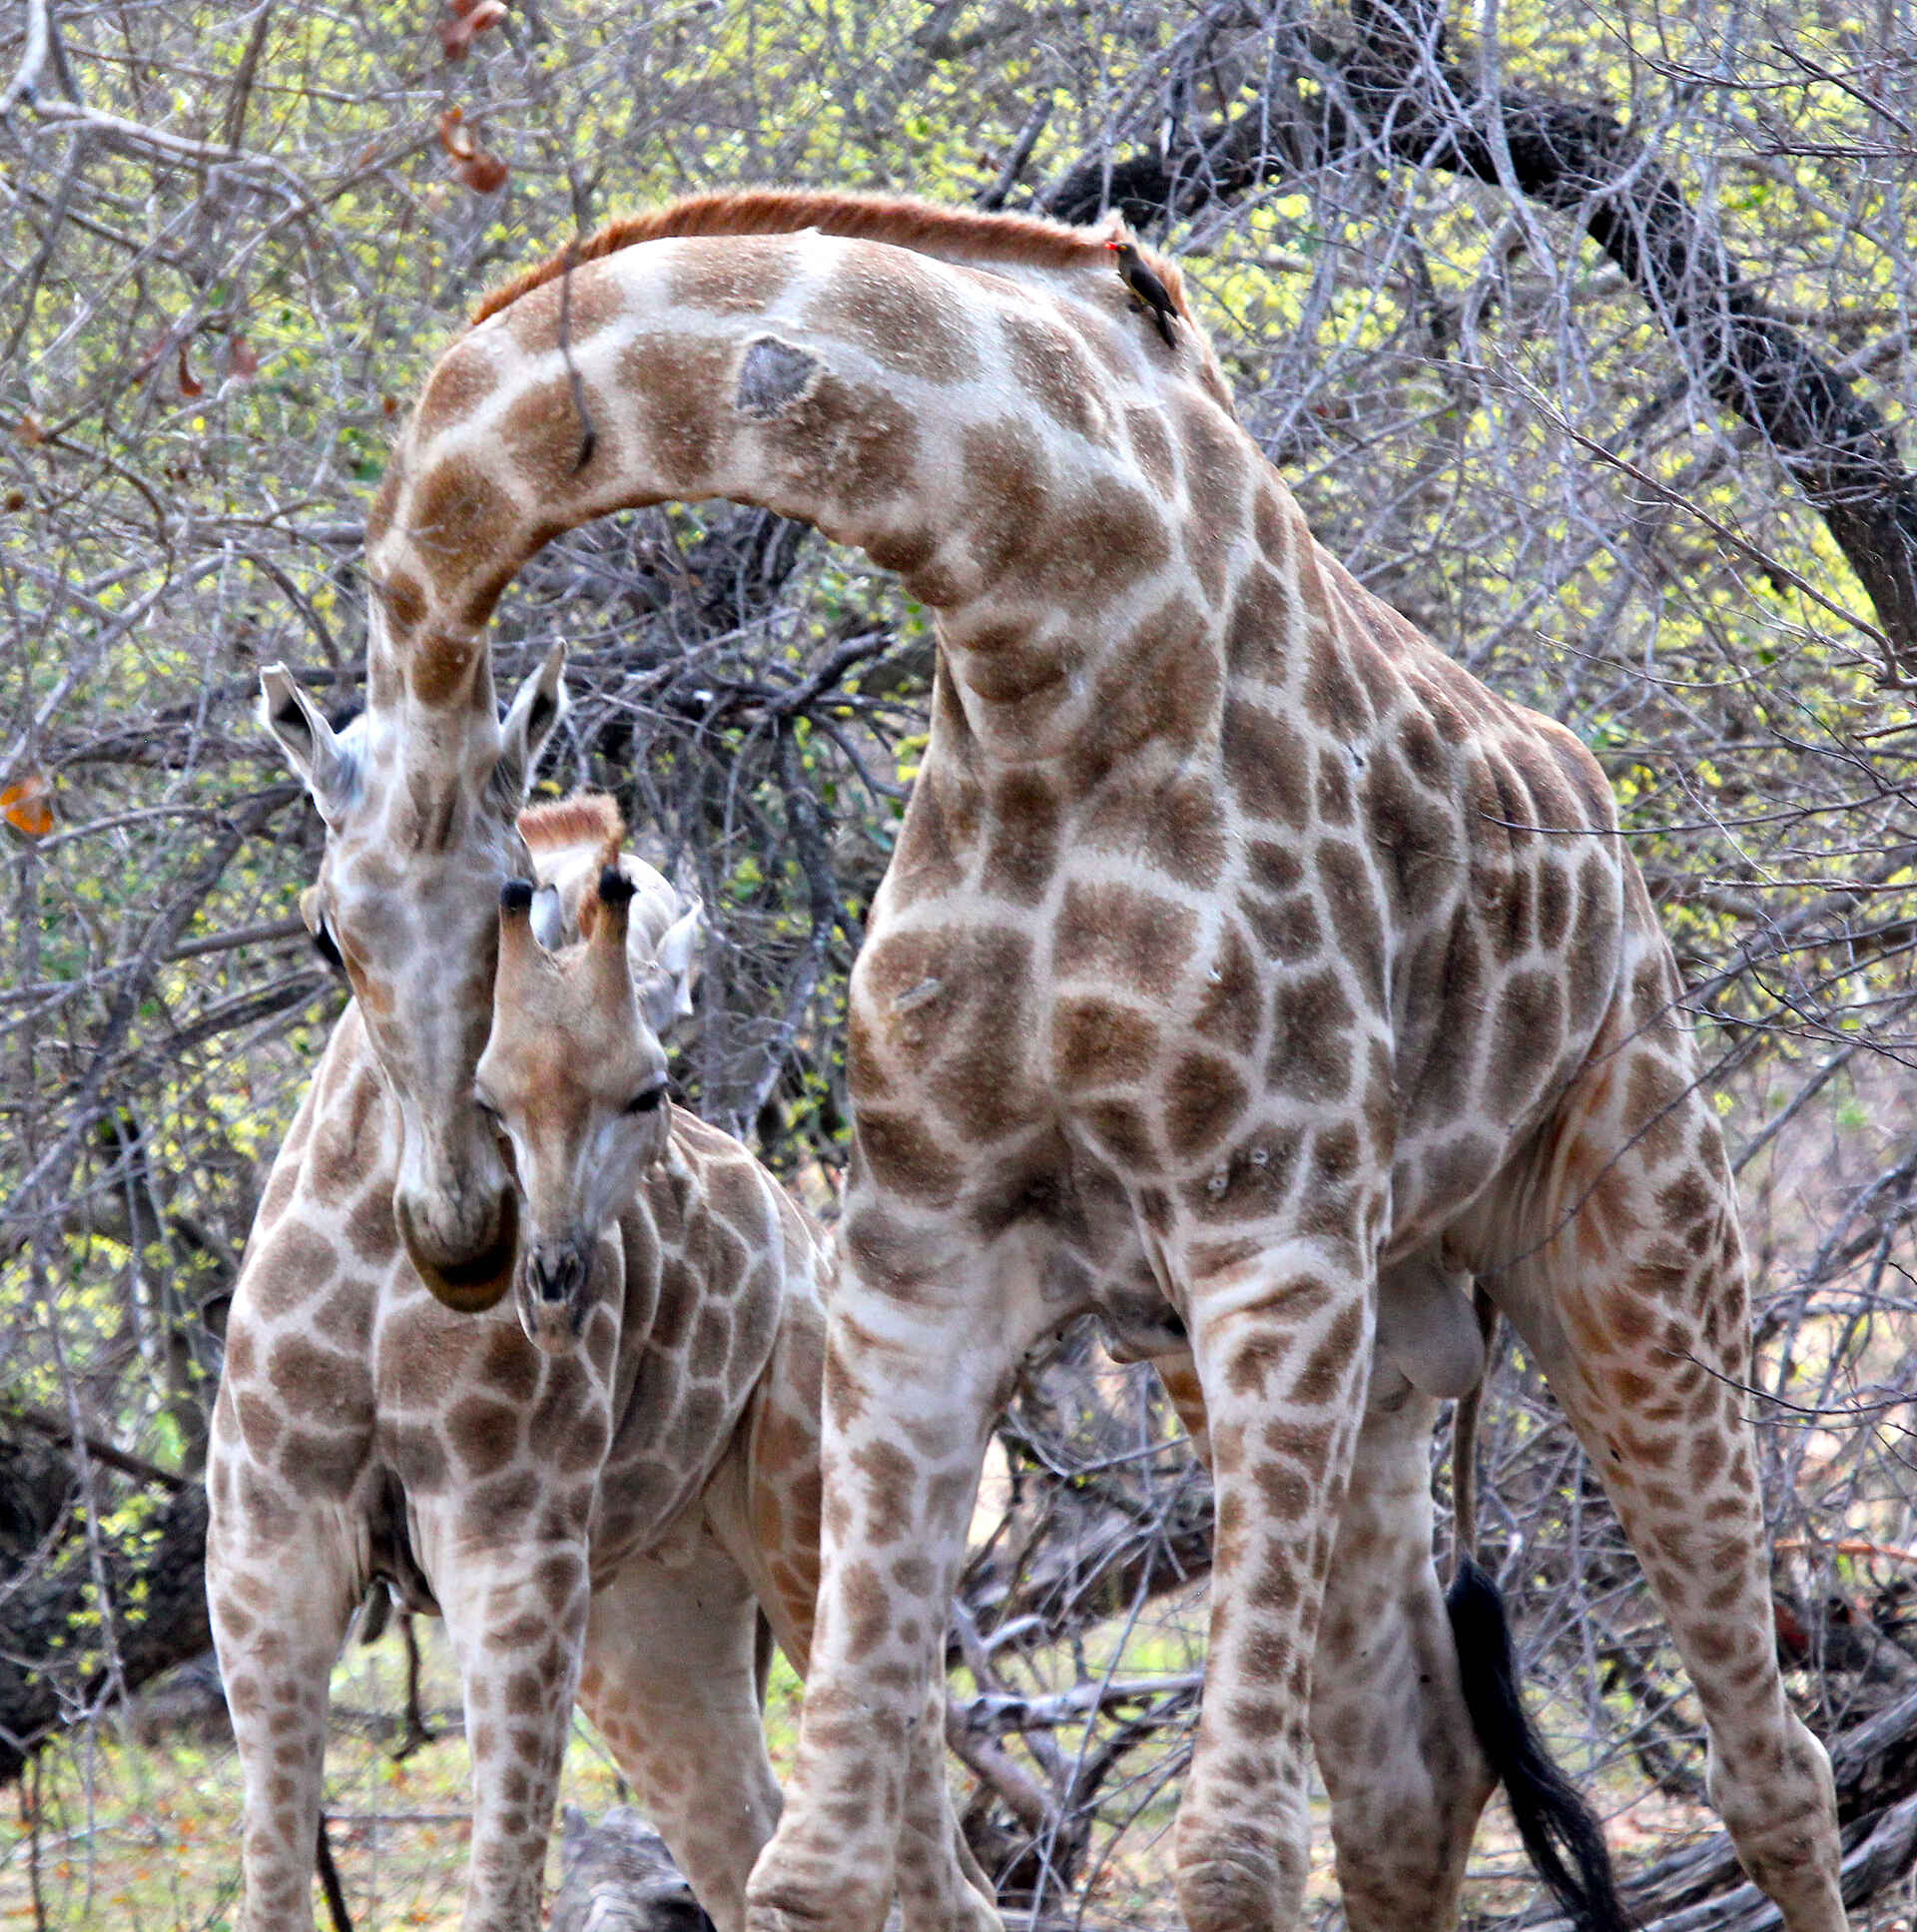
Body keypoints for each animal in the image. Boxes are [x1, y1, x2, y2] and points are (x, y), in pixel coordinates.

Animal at [205, 792, 996, 1932]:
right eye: (491, 1094)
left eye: (647, 1088)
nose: (551, 1277)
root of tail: (803, 1235)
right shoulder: (265, 1553)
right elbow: (272, 1890)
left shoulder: (513, 1557)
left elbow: (500, 1895)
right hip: (648, 1620)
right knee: (744, 1851)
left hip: (810, 1546)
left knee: (941, 1881)